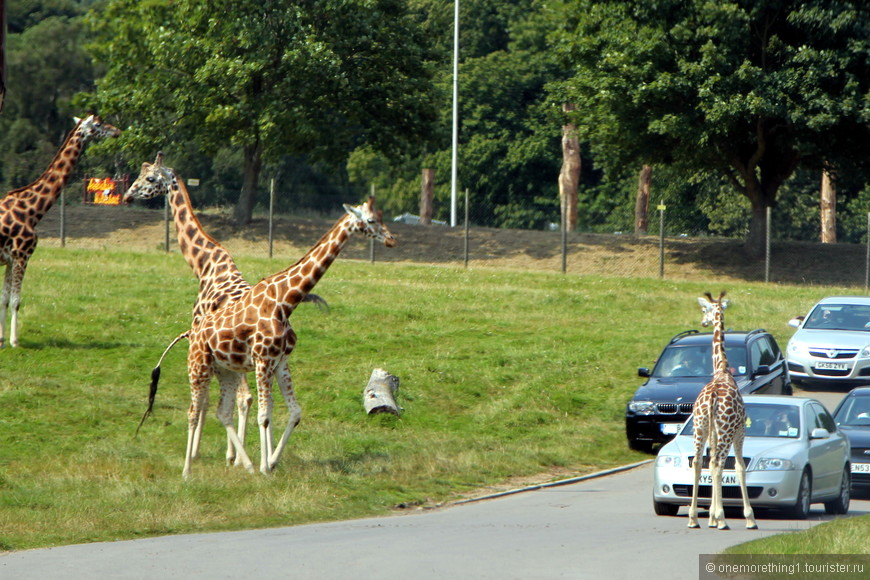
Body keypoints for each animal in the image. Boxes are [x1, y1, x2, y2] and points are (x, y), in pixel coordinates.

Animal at [0, 115, 121, 346]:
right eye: (98, 124)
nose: (117, 132)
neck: (32, 210)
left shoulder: (11, 259)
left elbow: (4, 299)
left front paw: (1, 339)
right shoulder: (22, 256)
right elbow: (16, 300)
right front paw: (14, 341)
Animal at [688, 292, 756, 532]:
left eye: (704, 310)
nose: (703, 322)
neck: (722, 369)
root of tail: (712, 398)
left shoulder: (713, 431)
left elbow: (708, 463)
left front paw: (710, 517)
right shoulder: (740, 430)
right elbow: (739, 467)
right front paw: (749, 518)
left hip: (699, 426)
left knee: (699, 461)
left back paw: (693, 518)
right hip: (726, 430)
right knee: (718, 463)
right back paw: (723, 519)